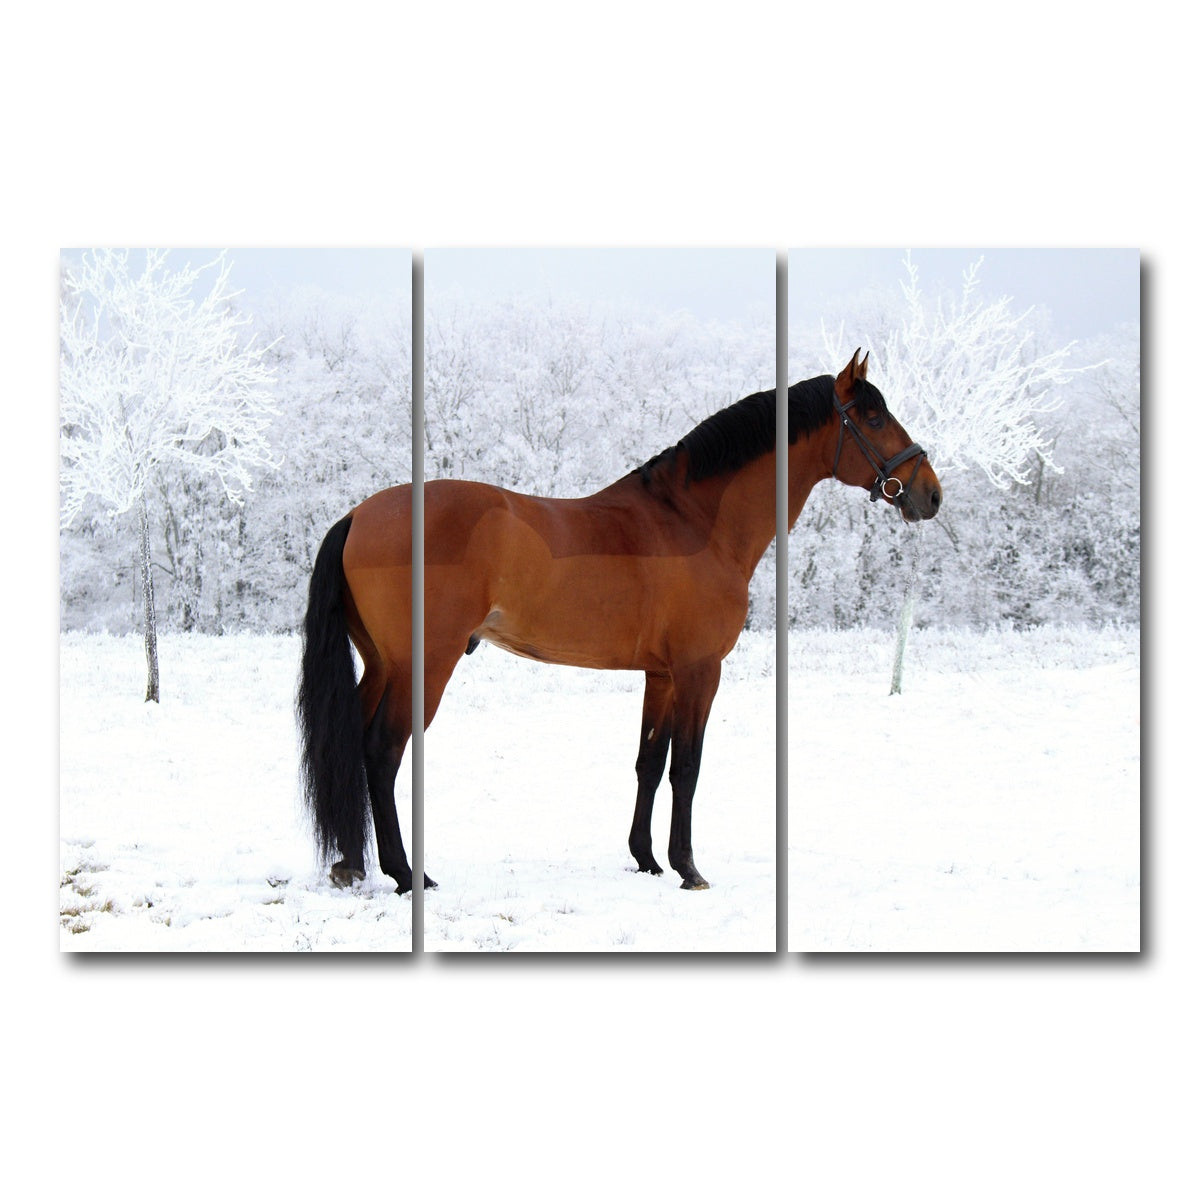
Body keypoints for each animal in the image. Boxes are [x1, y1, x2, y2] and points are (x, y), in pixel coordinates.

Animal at [297, 349, 941, 894]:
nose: (930, 494)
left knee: (352, 743)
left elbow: (649, 764)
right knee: (382, 750)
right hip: (423, 665)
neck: (692, 522)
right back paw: (408, 875)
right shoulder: (700, 670)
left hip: (381, 664)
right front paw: (688, 868)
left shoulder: (662, 675)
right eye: (875, 417)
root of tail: (357, 515)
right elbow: (687, 766)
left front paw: (647, 860)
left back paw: (351, 864)